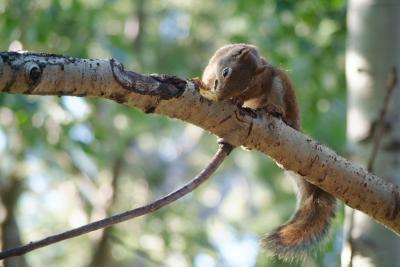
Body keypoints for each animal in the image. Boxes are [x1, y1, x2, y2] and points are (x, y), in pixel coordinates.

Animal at [198, 44, 336, 262]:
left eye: (245, 85)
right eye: (225, 72)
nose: (221, 97)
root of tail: (296, 124)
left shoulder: (262, 81)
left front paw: (238, 100)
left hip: (280, 88)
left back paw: (274, 110)